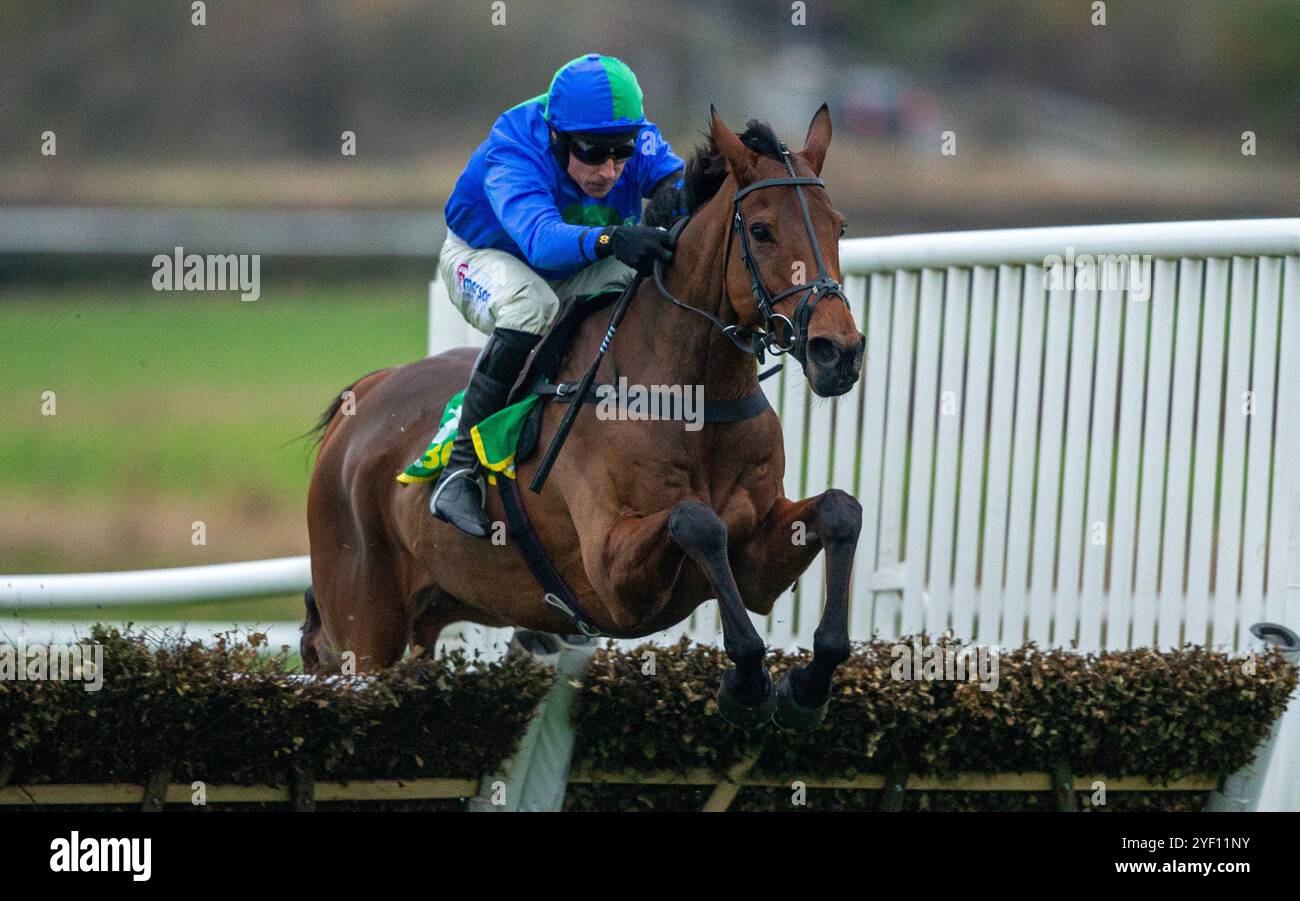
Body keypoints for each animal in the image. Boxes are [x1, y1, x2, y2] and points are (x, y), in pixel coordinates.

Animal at [306, 105, 863, 728]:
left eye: (838, 226)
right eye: (762, 230)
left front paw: (807, 685)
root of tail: (363, 398)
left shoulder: (757, 557)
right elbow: (697, 520)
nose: (837, 352)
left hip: (432, 611)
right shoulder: (614, 578)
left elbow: (840, 510)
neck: (694, 397)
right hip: (364, 624)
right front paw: (746, 682)